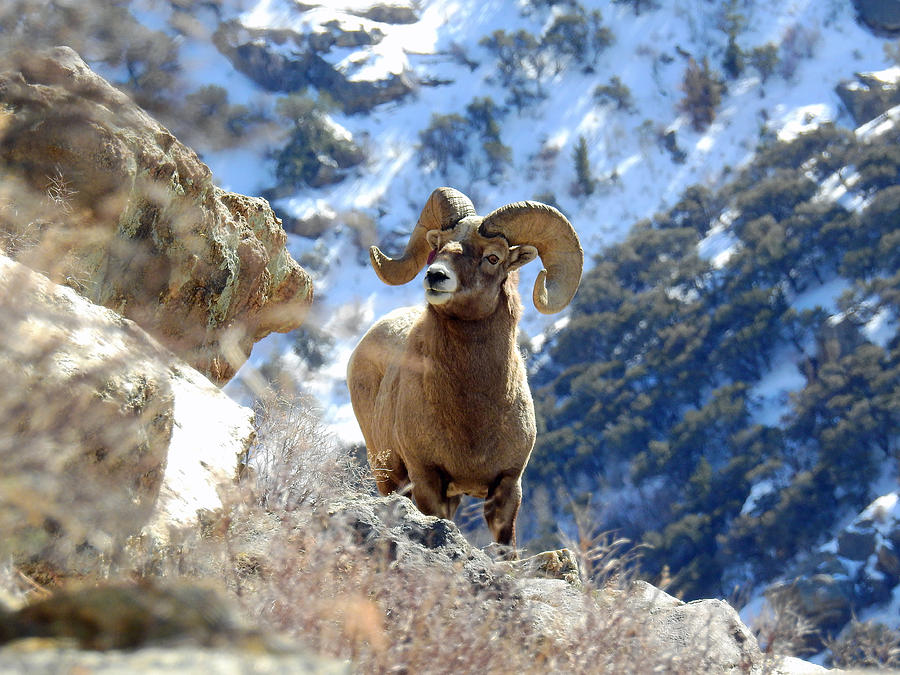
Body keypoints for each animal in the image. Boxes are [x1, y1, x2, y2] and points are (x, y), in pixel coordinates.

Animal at [344, 187, 584, 552]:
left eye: (493, 257)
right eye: (439, 244)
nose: (435, 276)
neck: (471, 417)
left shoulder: (507, 486)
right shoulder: (427, 479)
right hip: (387, 473)